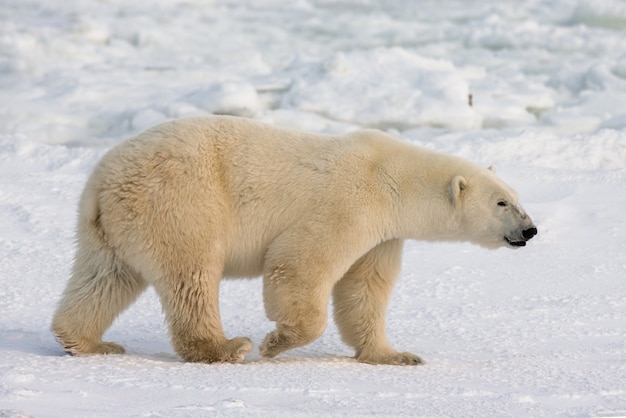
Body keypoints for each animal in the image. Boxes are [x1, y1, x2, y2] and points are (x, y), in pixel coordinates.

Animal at [51, 115, 532, 366]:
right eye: (502, 202)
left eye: (518, 197)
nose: (530, 231)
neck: (391, 179)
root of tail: (102, 182)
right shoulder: (348, 202)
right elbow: (300, 262)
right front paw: (275, 342)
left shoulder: (382, 235)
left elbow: (364, 289)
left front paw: (394, 355)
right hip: (180, 201)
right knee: (192, 274)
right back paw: (226, 347)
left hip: (112, 226)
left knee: (104, 278)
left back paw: (87, 342)